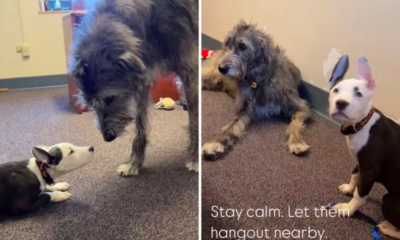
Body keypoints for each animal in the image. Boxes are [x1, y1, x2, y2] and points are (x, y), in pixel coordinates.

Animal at [69, 0, 199, 176]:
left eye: (109, 98)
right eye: (90, 104)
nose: (107, 137)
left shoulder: (190, 72)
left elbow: (195, 121)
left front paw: (195, 159)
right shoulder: (140, 75)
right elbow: (140, 124)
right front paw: (134, 164)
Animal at [202, 20, 310, 159]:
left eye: (243, 46)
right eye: (227, 44)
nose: (222, 68)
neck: (259, 79)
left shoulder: (300, 106)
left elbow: (295, 124)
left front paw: (296, 142)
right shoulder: (246, 108)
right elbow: (231, 126)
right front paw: (215, 142)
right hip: (212, 73)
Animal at [328, 55, 400, 238]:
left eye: (359, 94)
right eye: (335, 90)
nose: (341, 103)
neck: (361, 124)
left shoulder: (370, 170)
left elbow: (359, 195)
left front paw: (347, 209)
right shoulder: (358, 161)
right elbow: (354, 176)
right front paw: (348, 188)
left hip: (389, 200)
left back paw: (387, 228)